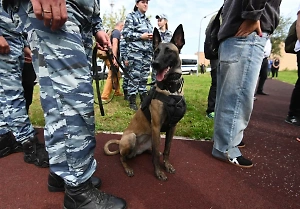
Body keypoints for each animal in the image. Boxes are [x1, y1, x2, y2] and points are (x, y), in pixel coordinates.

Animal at [104, 24, 186, 181]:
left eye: (169, 51)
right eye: (156, 51)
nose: (154, 64)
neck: (170, 89)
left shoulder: (172, 126)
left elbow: (167, 149)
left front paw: (167, 165)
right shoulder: (156, 126)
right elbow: (156, 156)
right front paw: (159, 172)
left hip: (150, 139)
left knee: (152, 150)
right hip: (132, 138)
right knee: (122, 157)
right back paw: (128, 168)